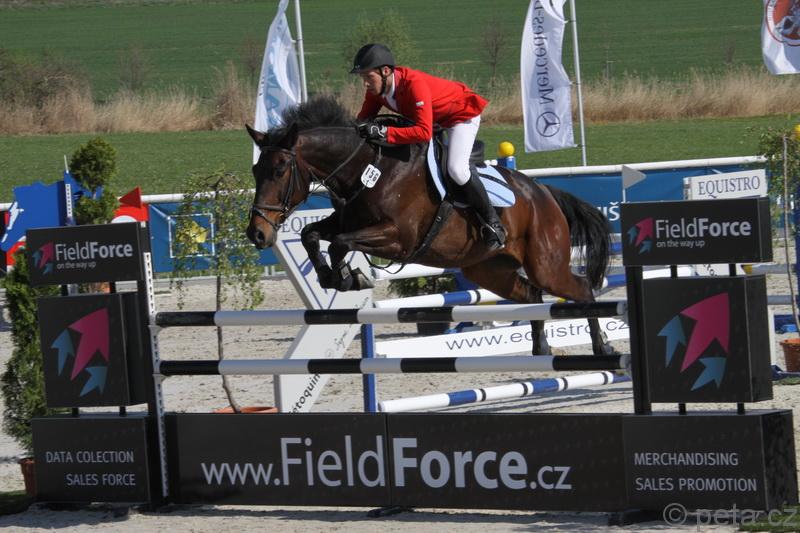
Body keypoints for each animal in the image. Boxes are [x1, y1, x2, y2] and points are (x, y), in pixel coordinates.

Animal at [246, 96, 615, 356]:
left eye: (279, 170)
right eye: (255, 170)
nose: (257, 233)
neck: (368, 169)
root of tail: (542, 192)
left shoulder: (398, 238)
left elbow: (340, 243)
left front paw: (351, 276)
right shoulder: (347, 220)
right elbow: (311, 234)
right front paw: (331, 276)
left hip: (545, 264)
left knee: (581, 287)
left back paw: (603, 346)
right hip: (490, 270)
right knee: (532, 294)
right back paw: (541, 347)